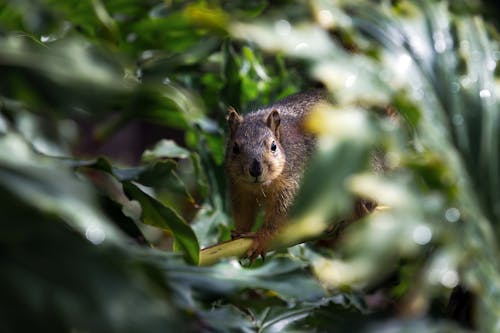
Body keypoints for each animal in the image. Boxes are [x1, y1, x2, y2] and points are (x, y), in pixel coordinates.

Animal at [225, 89, 326, 258]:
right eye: (235, 148)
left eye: (274, 146)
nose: (256, 170)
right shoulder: (238, 188)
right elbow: (243, 211)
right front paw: (239, 231)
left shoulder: (292, 182)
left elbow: (279, 213)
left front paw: (260, 238)